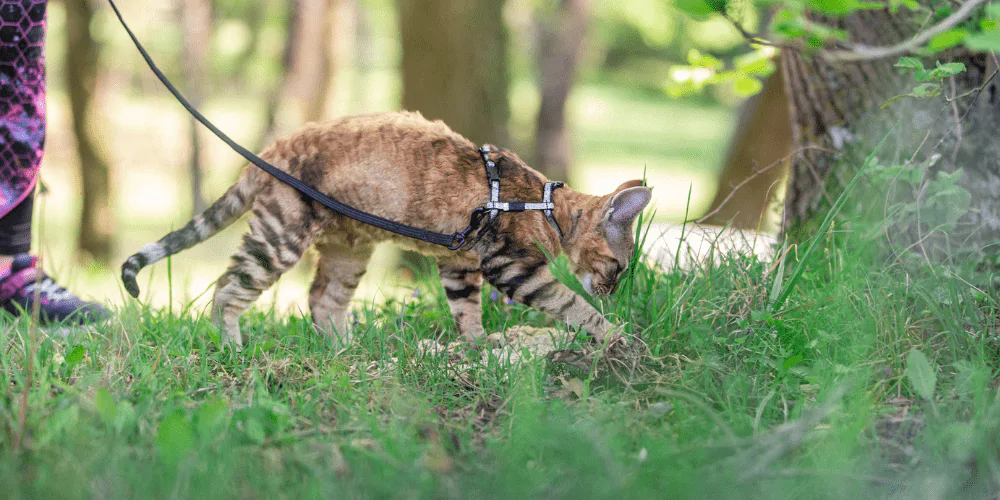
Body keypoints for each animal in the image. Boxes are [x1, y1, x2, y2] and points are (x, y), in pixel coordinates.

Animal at [119, 111, 648, 350]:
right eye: (620, 265)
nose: (612, 290)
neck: (545, 204)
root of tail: (269, 151)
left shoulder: (460, 264)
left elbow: (467, 312)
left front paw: (477, 345)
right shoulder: (511, 268)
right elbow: (569, 303)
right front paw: (615, 333)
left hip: (348, 251)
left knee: (323, 301)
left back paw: (344, 350)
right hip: (280, 237)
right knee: (228, 289)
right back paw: (232, 345)